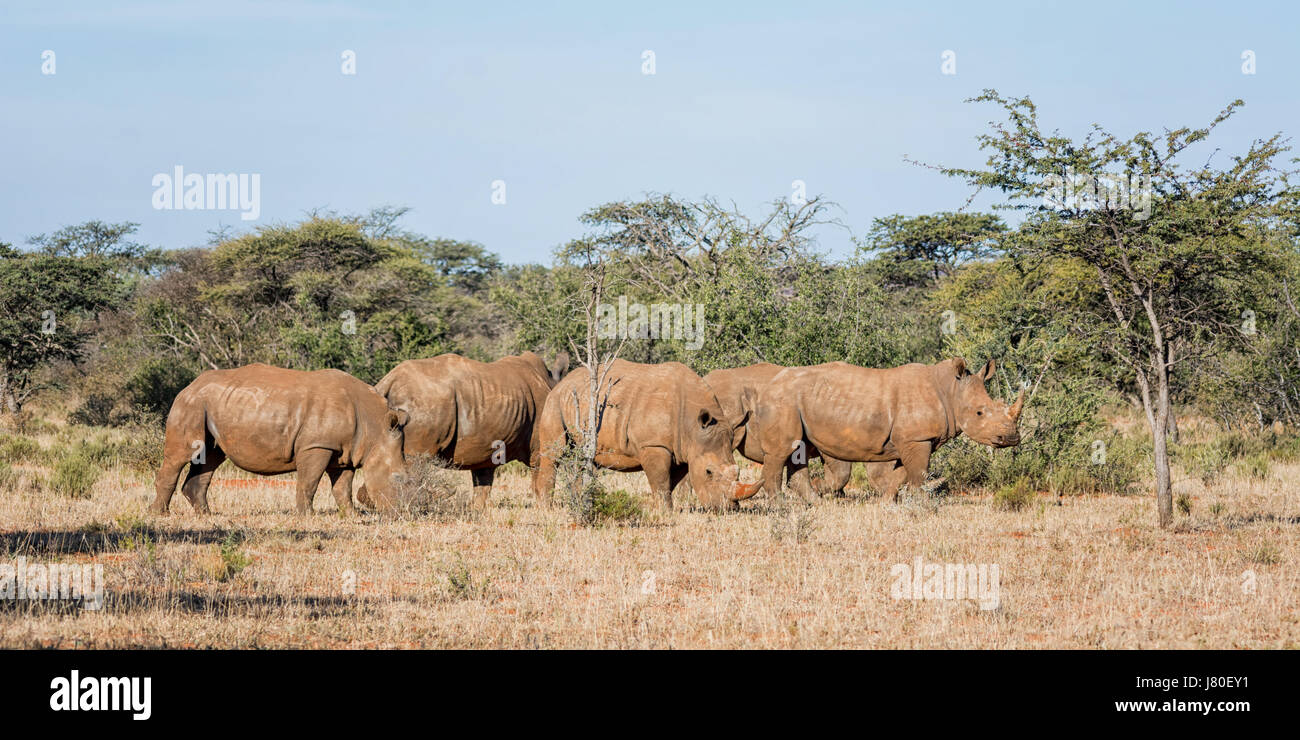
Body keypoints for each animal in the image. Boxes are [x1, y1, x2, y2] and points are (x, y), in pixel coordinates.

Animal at [149, 364, 408, 512]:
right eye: (398, 478)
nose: (400, 512)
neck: (375, 425)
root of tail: (188, 386)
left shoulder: (344, 451)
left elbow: (342, 487)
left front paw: (350, 516)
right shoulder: (317, 446)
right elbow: (309, 482)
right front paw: (307, 517)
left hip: (211, 404)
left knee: (210, 457)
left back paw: (206, 515)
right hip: (191, 404)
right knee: (182, 455)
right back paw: (160, 514)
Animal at [366, 351, 569, 509]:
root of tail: (387, 381)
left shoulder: (485, 447)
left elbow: (483, 483)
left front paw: (477, 510)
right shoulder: (540, 442)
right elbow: (542, 474)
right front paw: (544, 508)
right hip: (423, 404)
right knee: (414, 461)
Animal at [748, 358, 1019, 502]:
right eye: (979, 413)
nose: (1012, 438)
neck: (950, 390)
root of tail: (770, 384)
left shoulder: (913, 439)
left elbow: (900, 475)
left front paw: (889, 502)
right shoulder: (917, 438)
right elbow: (918, 474)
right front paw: (920, 505)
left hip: (794, 401)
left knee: (799, 450)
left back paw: (813, 503)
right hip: (783, 400)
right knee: (783, 450)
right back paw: (781, 506)